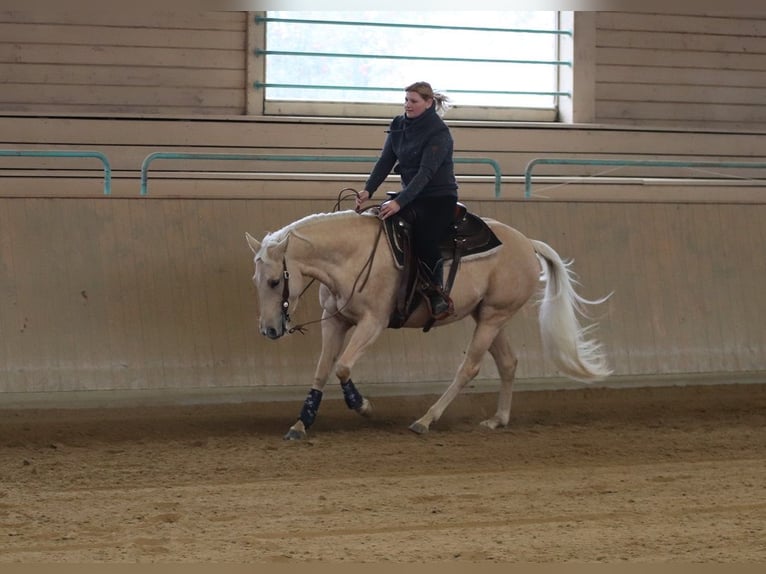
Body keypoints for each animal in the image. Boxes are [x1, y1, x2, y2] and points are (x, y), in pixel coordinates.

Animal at [246, 212, 612, 440]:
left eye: (276, 281)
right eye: (257, 281)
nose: (269, 330)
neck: (354, 257)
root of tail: (526, 242)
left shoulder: (372, 323)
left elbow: (343, 367)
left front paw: (362, 406)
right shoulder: (335, 322)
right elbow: (322, 371)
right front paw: (301, 422)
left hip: (492, 318)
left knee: (469, 368)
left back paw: (425, 420)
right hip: (490, 317)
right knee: (507, 363)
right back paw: (498, 419)